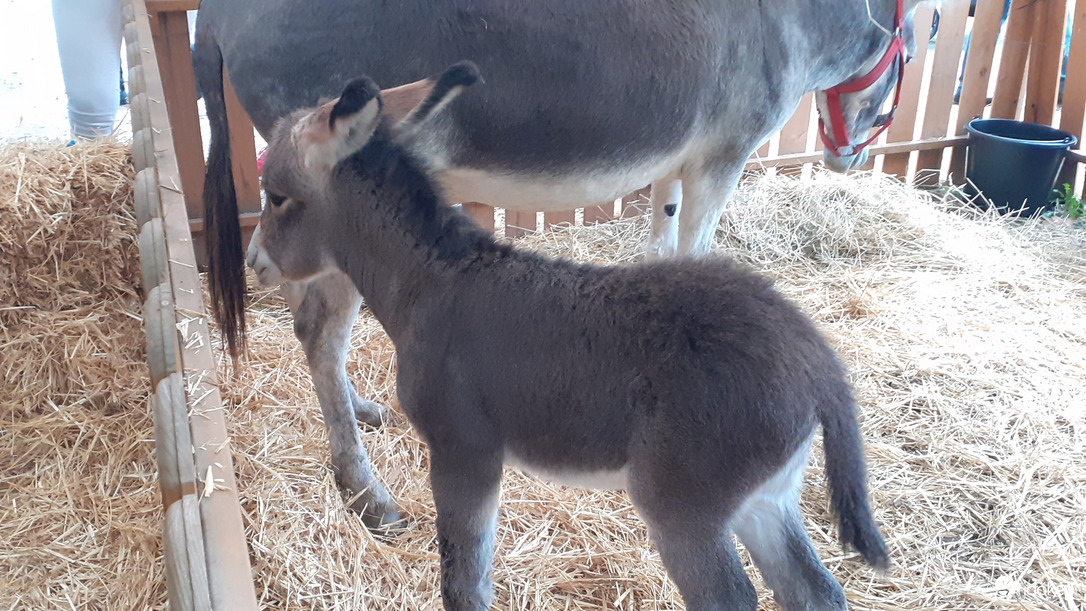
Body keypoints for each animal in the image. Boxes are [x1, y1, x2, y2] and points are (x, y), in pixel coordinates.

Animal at [254, 64, 890, 607]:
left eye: (277, 196)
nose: (256, 263)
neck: (431, 283)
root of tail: (818, 363)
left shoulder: (464, 449)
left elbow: (464, 582)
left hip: (684, 507)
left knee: (730, 597)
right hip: (765, 500)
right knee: (814, 592)